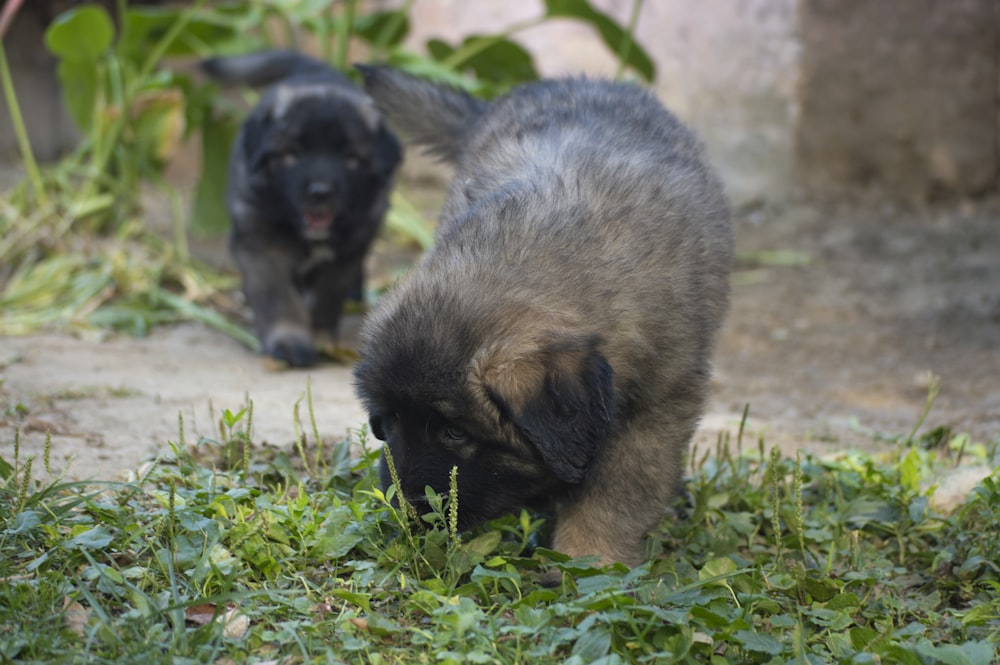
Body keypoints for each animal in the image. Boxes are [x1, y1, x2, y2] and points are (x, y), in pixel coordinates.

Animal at [201, 49, 400, 366]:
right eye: (294, 153)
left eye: (350, 158)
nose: (320, 192)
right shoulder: (262, 247)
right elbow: (278, 297)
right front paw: (289, 341)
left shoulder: (345, 254)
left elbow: (326, 299)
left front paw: (321, 338)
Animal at [354, 66, 736, 564]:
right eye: (387, 425)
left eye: (455, 432)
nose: (408, 514)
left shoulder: (658, 404)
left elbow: (617, 491)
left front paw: (591, 557)